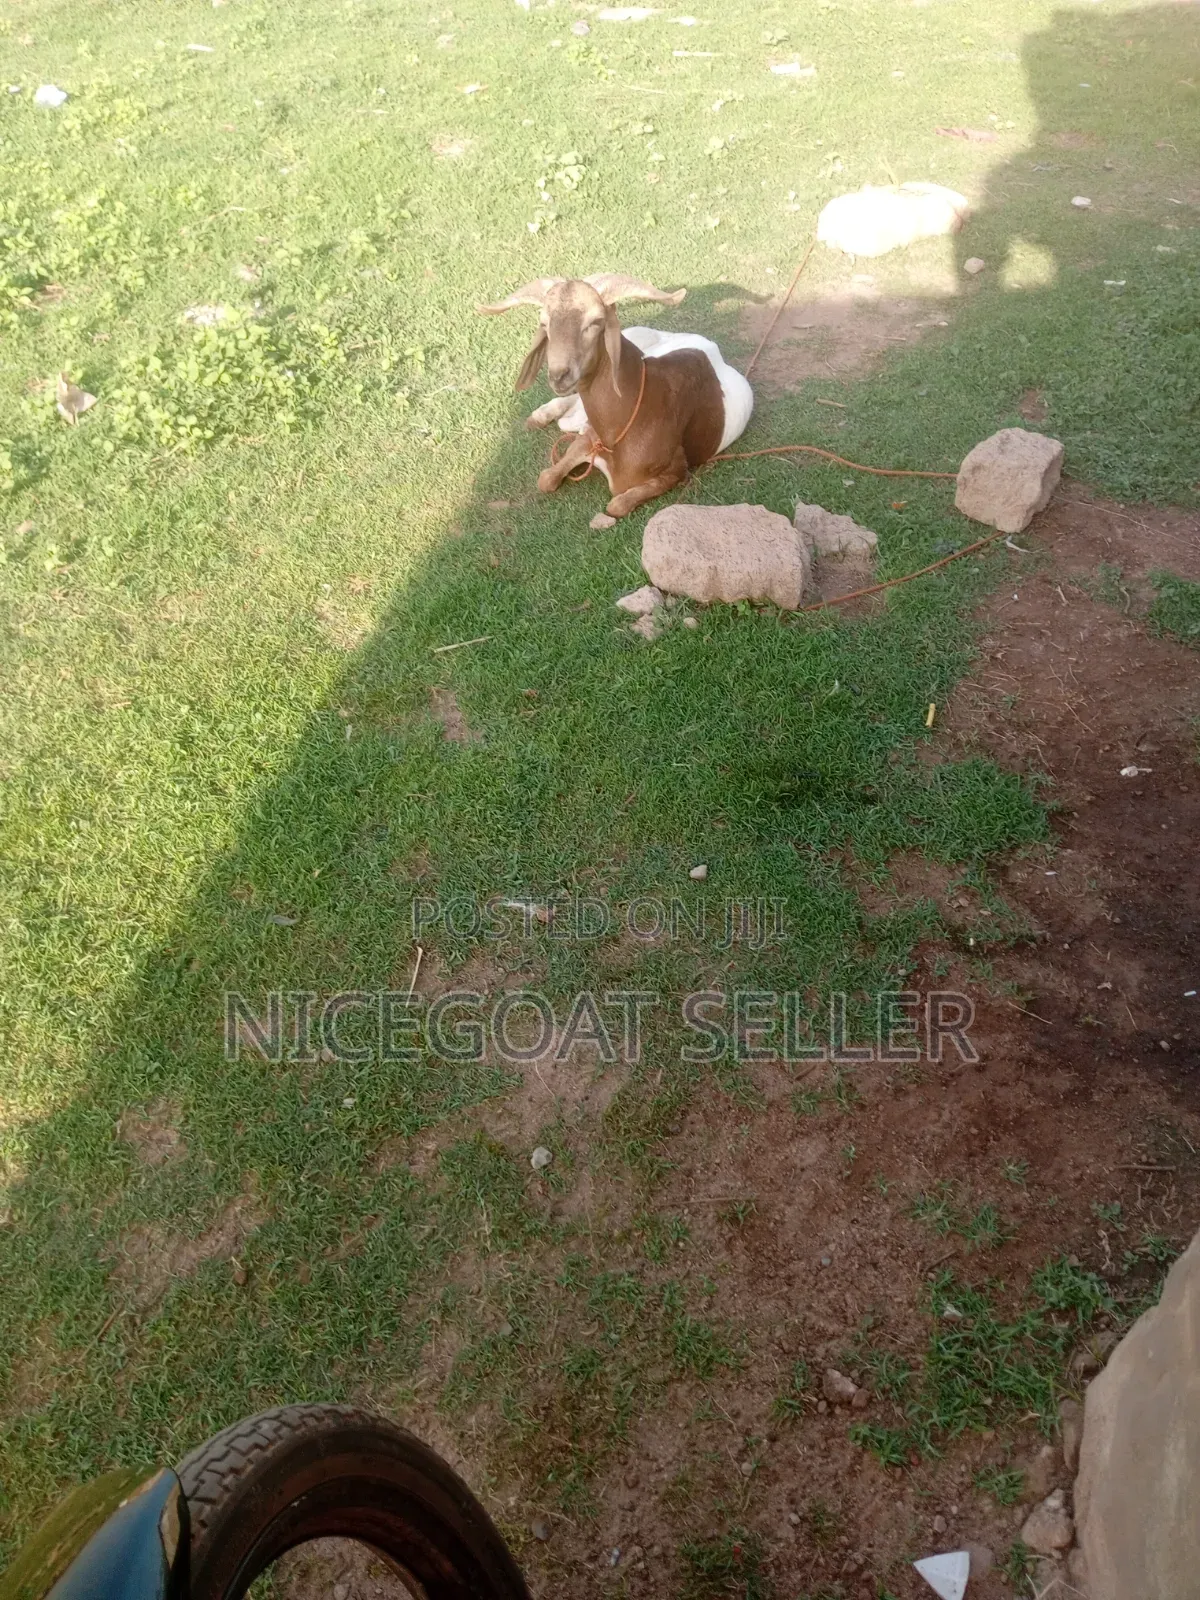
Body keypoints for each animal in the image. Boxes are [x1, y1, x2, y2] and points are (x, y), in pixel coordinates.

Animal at [477, 274, 753, 520]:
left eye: (595, 321)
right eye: (545, 324)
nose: (559, 375)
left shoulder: (677, 469)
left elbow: (617, 505)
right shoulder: (588, 439)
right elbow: (546, 479)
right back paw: (541, 416)